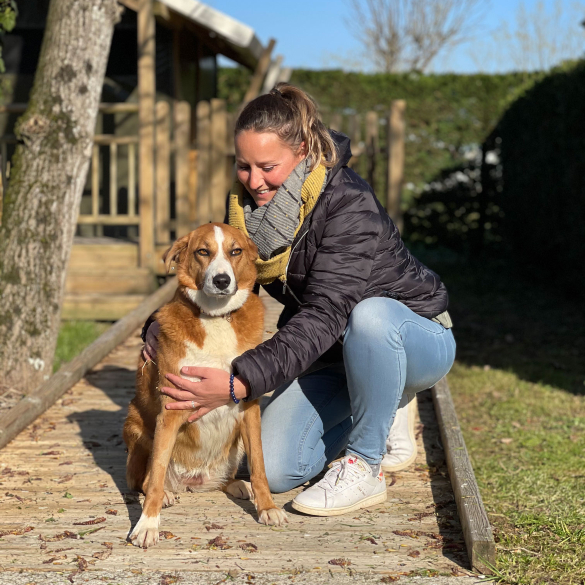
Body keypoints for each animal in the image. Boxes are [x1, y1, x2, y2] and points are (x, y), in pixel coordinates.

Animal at [124, 221, 288, 544]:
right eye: (203, 251)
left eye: (235, 251)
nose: (222, 280)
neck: (216, 318)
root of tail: (193, 480)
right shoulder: (171, 411)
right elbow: (157, 471)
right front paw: (147, 525)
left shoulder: (249, 407)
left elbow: (260, 466)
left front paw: (267, 508)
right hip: (140, 428)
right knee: (147, 479)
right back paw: (164, 495)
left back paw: (238, 485)